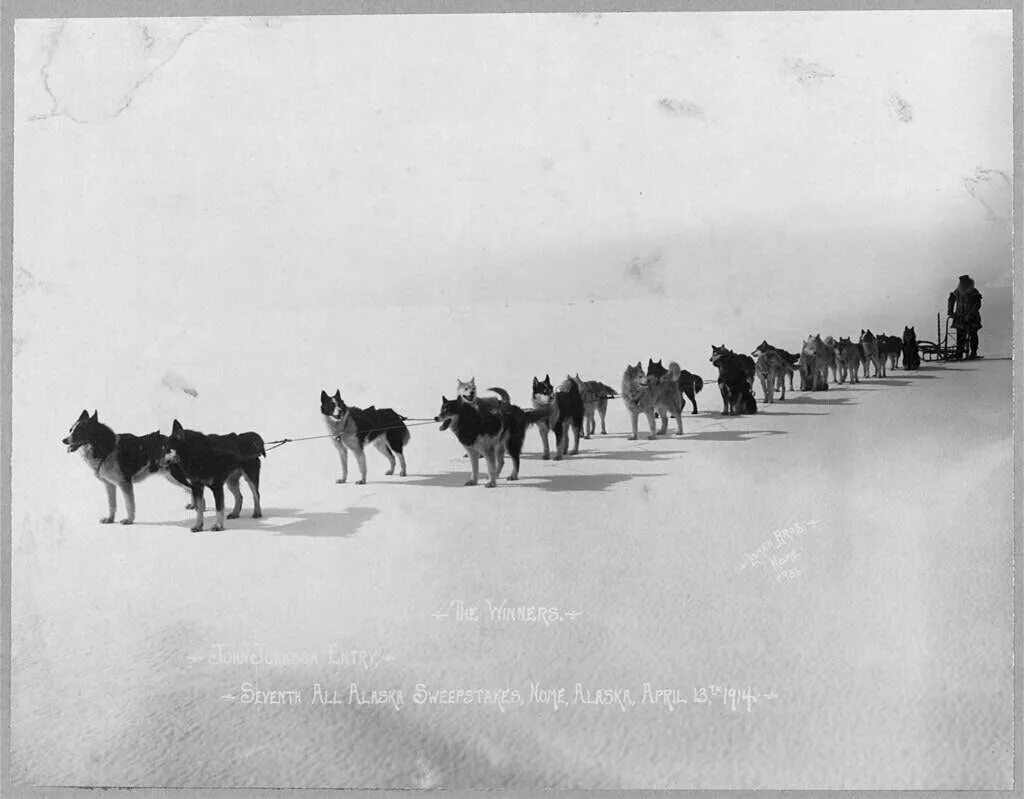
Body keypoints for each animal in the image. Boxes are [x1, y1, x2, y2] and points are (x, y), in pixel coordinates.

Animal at [62, 411, 191, 524]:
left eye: (79, 431)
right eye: (70, 430)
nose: (63, 440)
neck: (107, 448)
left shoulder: (125, 483)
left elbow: (129, 505)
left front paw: (129, 520)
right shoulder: (110, 485)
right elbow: (112, 504)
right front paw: (110, 519)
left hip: (176, 476)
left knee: (191, 487)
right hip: (171, 477)